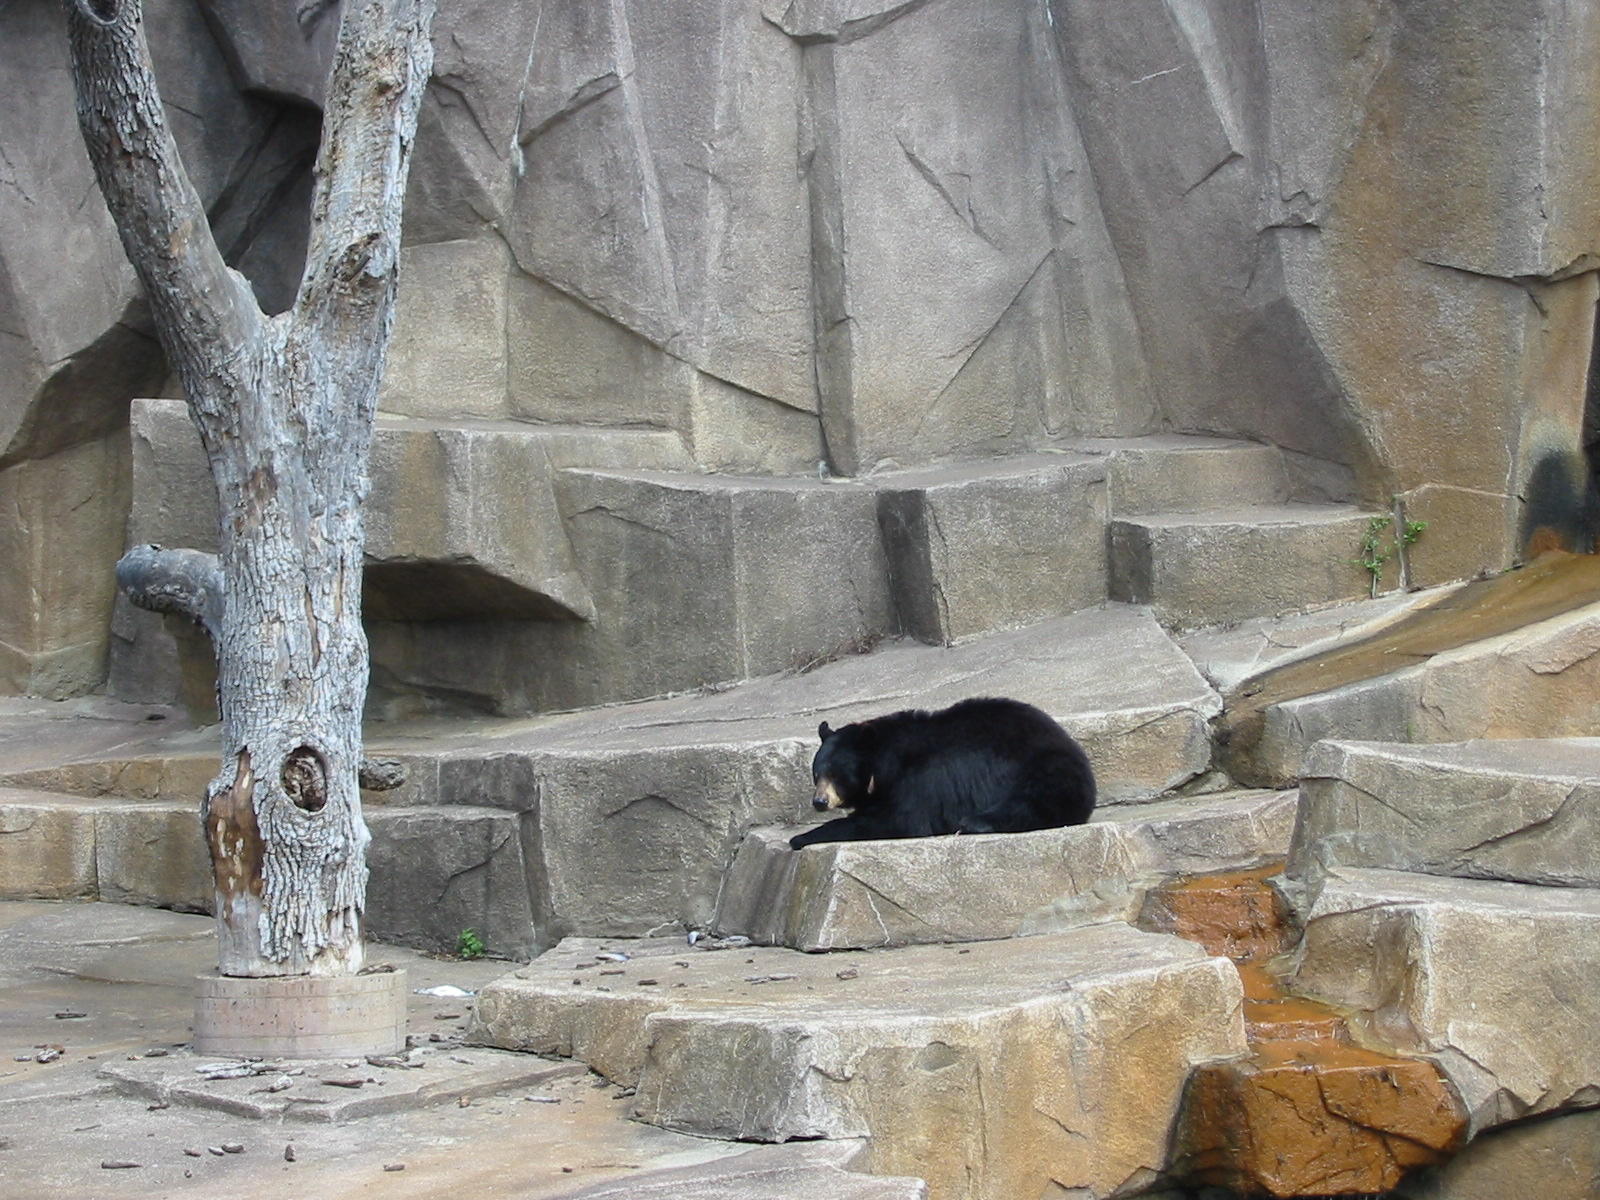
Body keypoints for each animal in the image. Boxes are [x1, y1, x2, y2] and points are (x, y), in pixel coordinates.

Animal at [788, 696, 1096, 850]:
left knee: (1032, 799)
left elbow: (898, 820)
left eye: (836, 774)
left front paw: (801, 838)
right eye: (816, 774)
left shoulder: (917, 778)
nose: (819, 802)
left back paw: (974, 823)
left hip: (1042, 765)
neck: (884, 761)